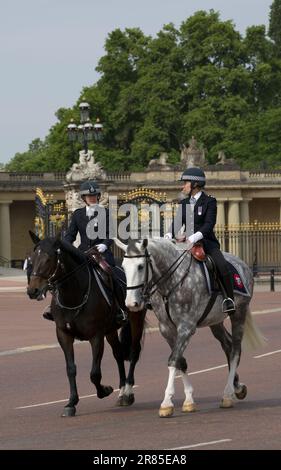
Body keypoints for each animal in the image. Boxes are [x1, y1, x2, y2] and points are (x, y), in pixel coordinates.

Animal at [26, 233, 145, 416]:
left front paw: (104, 390)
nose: (33, 291)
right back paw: (122, 390)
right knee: (118, 354)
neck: (73, 293)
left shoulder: (96, 336)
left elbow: (94, 373)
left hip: (135, 318)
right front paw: (71, 403)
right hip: (110, 330)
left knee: (133, 352)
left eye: (48, 258)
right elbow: (70, 369)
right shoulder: (63, 334)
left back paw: (128, 393)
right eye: (32, 258)